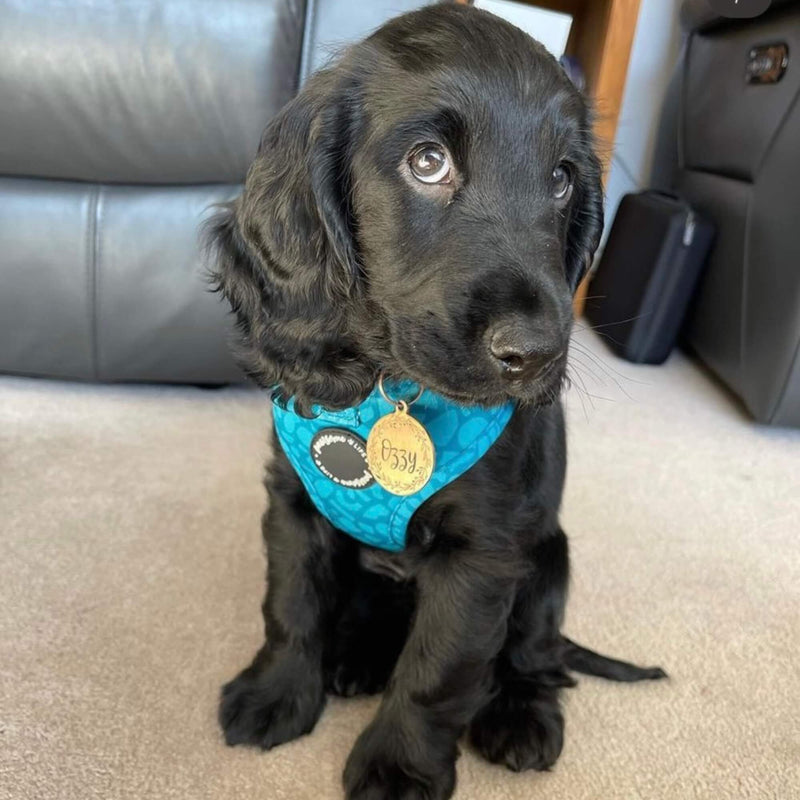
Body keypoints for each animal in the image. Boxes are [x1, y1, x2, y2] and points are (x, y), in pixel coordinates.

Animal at [206, 3, 664, 796]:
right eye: (428, 162)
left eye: (561, 180)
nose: (536, 353)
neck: (394, 385)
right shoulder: (294, 502)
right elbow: (291, 604)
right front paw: (276, 694)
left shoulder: (483, 554)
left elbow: (439, 669)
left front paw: (398, 766)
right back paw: (354, 657)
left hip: (549, 563)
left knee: (537, 659)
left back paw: (521, 717)